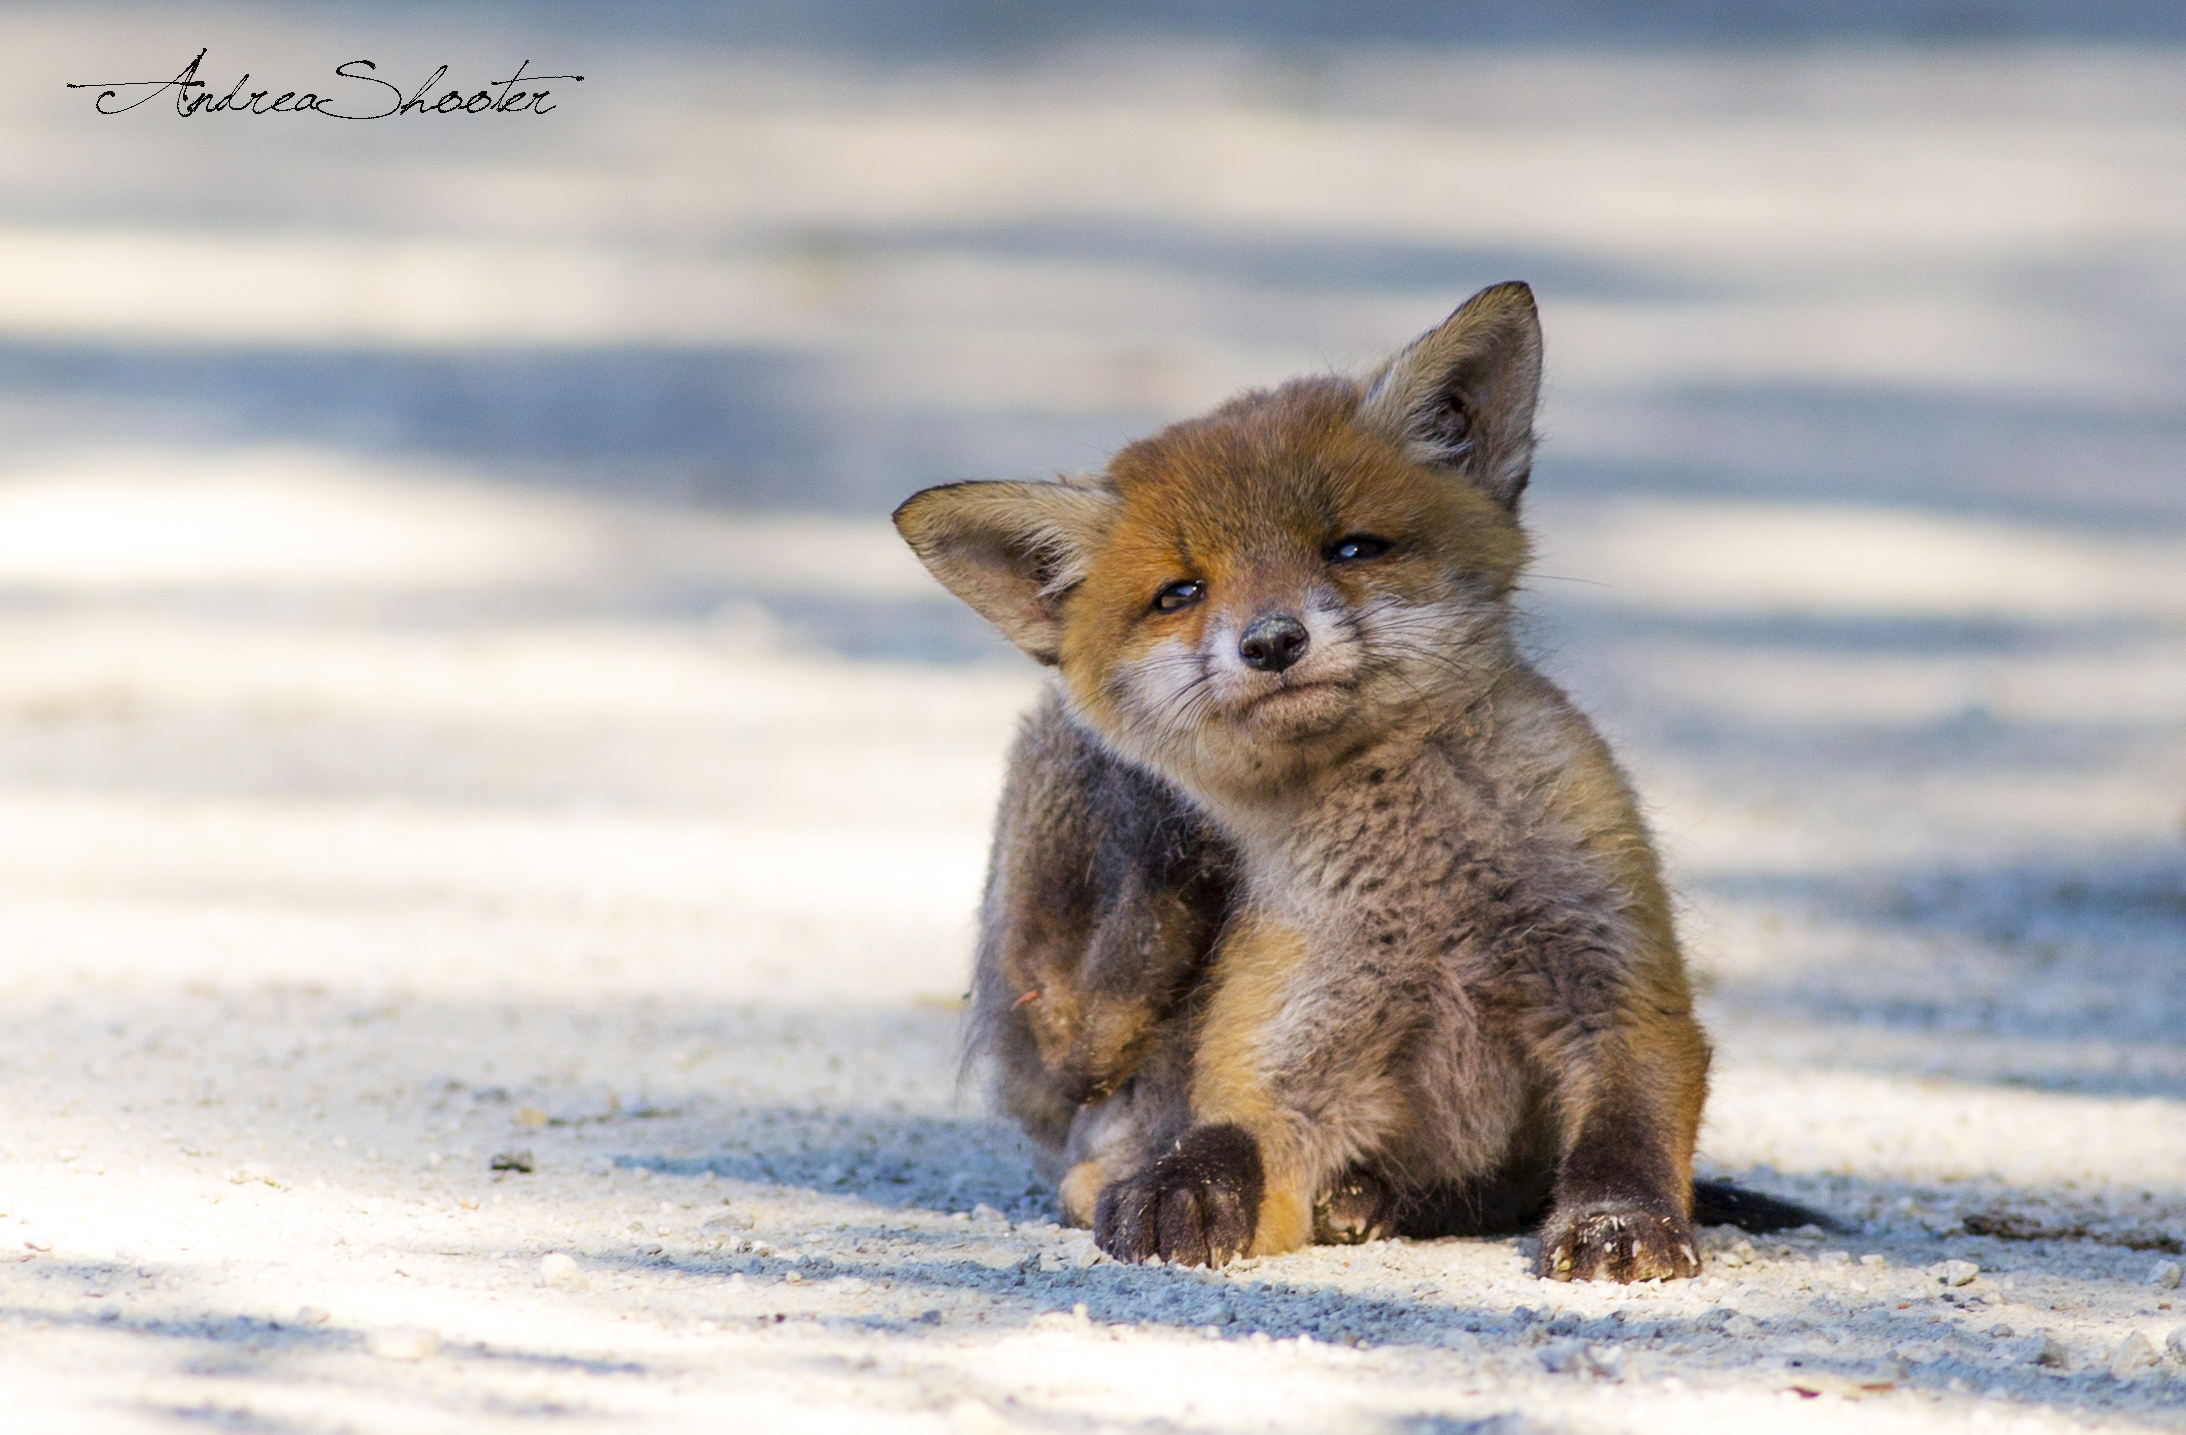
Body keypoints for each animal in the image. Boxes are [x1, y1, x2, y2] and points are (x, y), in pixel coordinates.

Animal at [896, 282, 1826, 1278]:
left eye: (1351, 549)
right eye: (1180, 593)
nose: (1271, 640)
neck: (1426, 895)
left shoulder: (1619, 986)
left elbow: (1626, 1131)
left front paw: (1618, 1222)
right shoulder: (1283, 1050)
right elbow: (1221, 1136)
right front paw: (1178, 1191)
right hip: (1056, 804)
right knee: (1074, 1061)